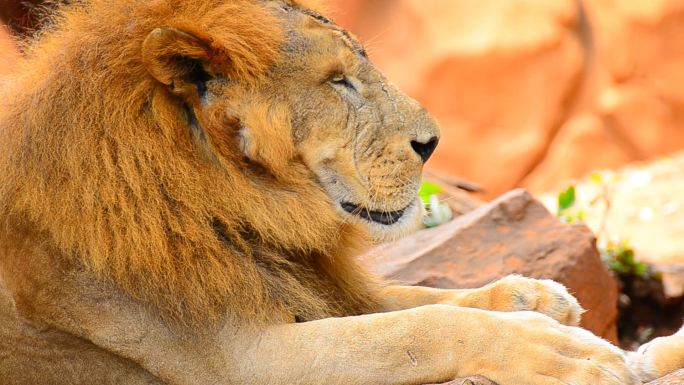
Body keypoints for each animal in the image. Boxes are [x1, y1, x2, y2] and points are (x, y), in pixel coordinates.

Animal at [0, 0, 680, 384]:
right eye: (337, 83)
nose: (433, 142)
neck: (244, 209)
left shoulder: (305, 285)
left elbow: (409, 298)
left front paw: (531, 297)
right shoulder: (238, 360)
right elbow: (412, 331)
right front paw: (554, 350)